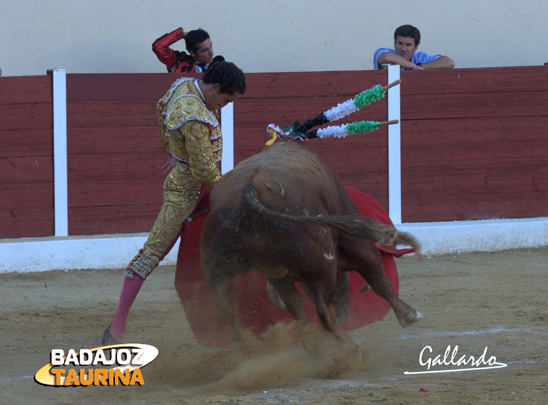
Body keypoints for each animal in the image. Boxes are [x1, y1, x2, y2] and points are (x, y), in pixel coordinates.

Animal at [200, 140, 420, 348]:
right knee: (323, 311)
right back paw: (348, 347)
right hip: (322, 266)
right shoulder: (357, 245)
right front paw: (410, 315)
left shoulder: (281, 276)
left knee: (231, 309)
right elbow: (379, 281)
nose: (343, 314)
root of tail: (251, 190)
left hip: (221, 269)